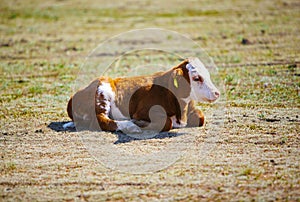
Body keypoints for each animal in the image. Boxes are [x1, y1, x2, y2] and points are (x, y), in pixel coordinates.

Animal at [63, 56, 219, 133]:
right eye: (196, 78)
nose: (216, 93)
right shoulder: (143, 111)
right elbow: (166, 122)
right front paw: (139, 123)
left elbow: (201, 117)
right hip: (103, 91)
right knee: (102, 120)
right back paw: (132, 127)